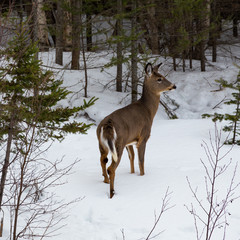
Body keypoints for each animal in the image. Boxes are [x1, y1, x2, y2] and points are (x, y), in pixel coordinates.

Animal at [96, 62, 176, 199]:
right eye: (159, 79)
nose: (174, 86)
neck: (148, 110)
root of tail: (107, 124)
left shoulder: (130, 141)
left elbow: (132, 157)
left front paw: (132, 174)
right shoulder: (143, 137)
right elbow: (141, 161)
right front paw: (142, 177)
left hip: (102, 144)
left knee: (103, 160)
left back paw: (105, 181)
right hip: (118, 143)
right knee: (111, 168)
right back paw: (112, 193)